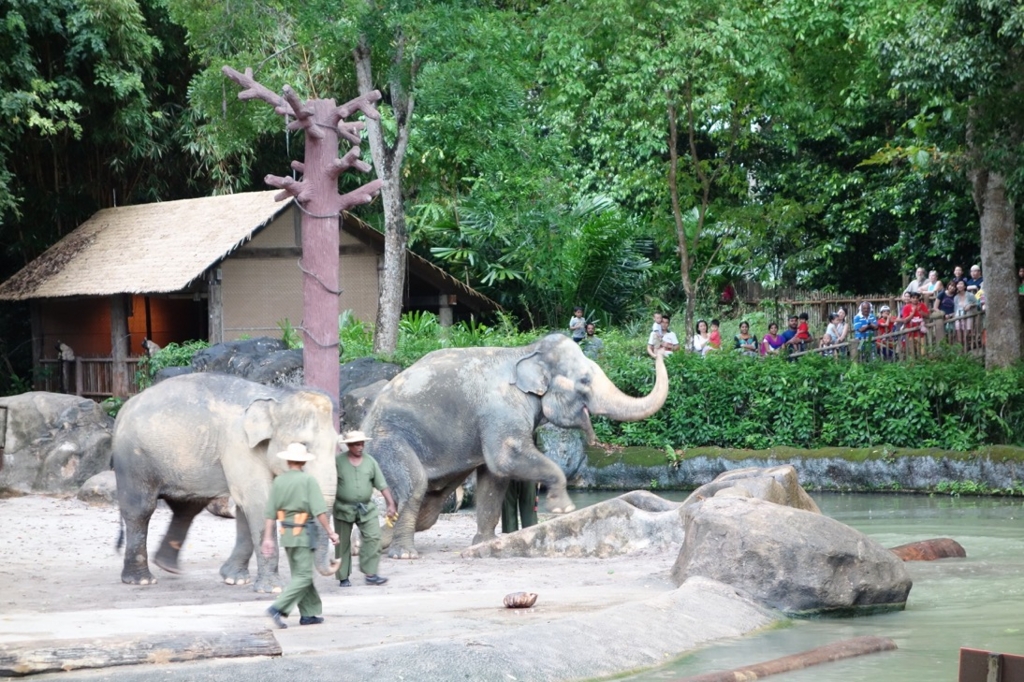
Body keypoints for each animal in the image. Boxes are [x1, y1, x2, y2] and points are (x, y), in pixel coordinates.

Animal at [113, 372, 339, 589]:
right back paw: (141, 580)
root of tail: (124, 408)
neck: (276, 398)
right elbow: (257, 502)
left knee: (187, 508)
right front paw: (273, 588)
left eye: (337, 444)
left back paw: (168, 566)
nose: (335, 561)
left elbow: (245, 507)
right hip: (134, 460)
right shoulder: (239, 446)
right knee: (141, 509)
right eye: (303, 445)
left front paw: (234, 579)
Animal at [364, 329, 667, 557]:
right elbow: (505, 458)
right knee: (416, 488)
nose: (659, 348)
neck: (525, 351)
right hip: (387, 437)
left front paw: (485, 544)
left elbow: (494, 478)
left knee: (431, 505)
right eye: (584, 380)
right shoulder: (500, 409)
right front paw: (564, 508)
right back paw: (403, 554)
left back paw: (369, 545)